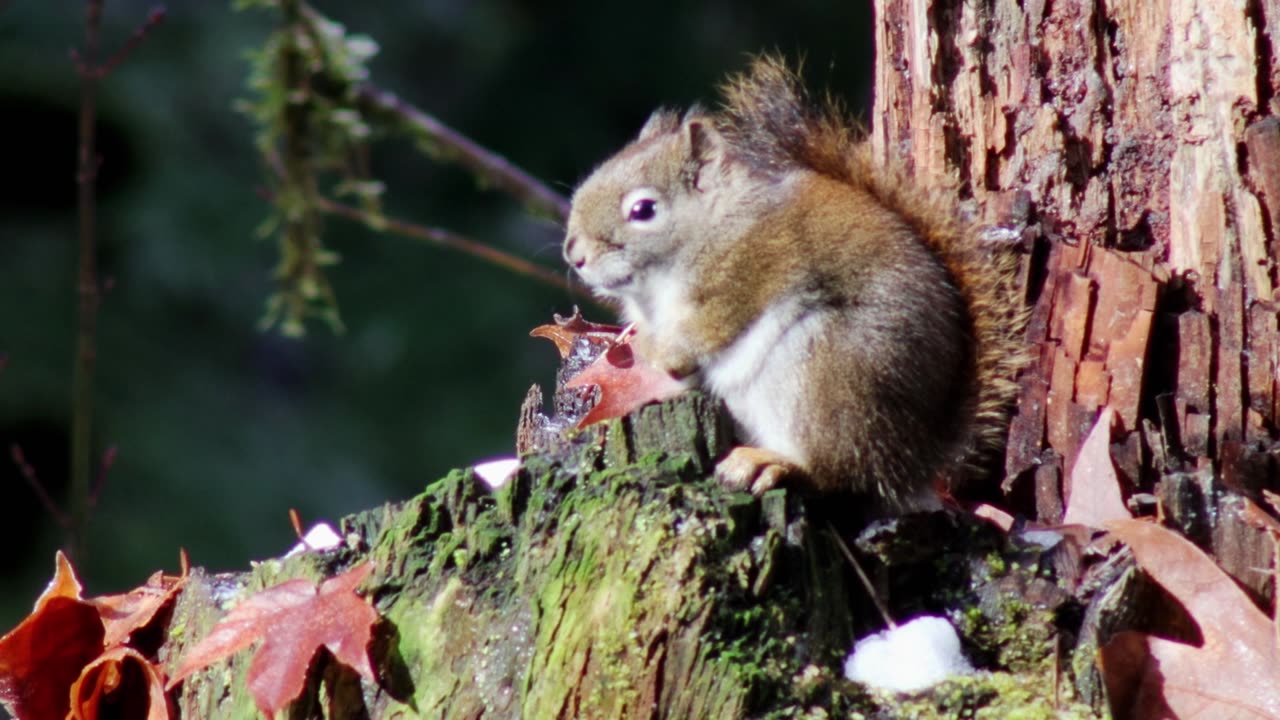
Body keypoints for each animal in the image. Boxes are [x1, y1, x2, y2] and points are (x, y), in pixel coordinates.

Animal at [565, 56, 1024, 507]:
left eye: (643, 210)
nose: (574, 255)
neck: (713, 225)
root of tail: (913, 459)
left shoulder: (743, 274)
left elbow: (704, 330)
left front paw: (653, 351)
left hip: (824, 370)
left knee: (836, 468)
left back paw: (770, 462)